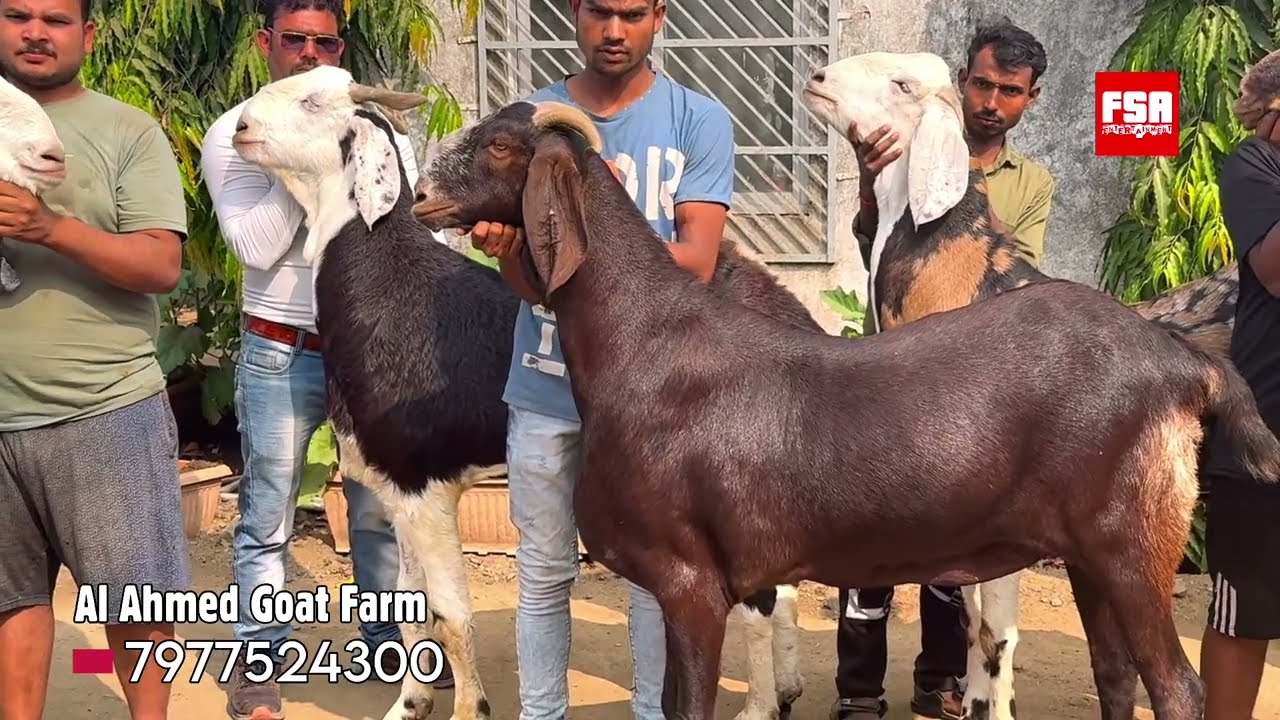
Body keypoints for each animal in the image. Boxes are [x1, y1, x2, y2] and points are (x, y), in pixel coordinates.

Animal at [231, 65, 825, 720]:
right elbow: (411, 606)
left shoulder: (425, 488)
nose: (240, 127)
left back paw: (762, 703)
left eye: (313, 102)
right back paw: (788, 686)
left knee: (760, 597)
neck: (384, 282)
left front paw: (470, 709)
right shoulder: (396, 487)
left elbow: (449, 615)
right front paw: (409, 705)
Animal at [411, 95, 1280, 720]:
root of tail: (1184, 364)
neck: (643, 343)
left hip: (1132, 543)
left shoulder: (692, 579)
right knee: (1116, 676)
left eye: (500, 147)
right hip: (1093, 555)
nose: (419, 195)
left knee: (1178, 689)